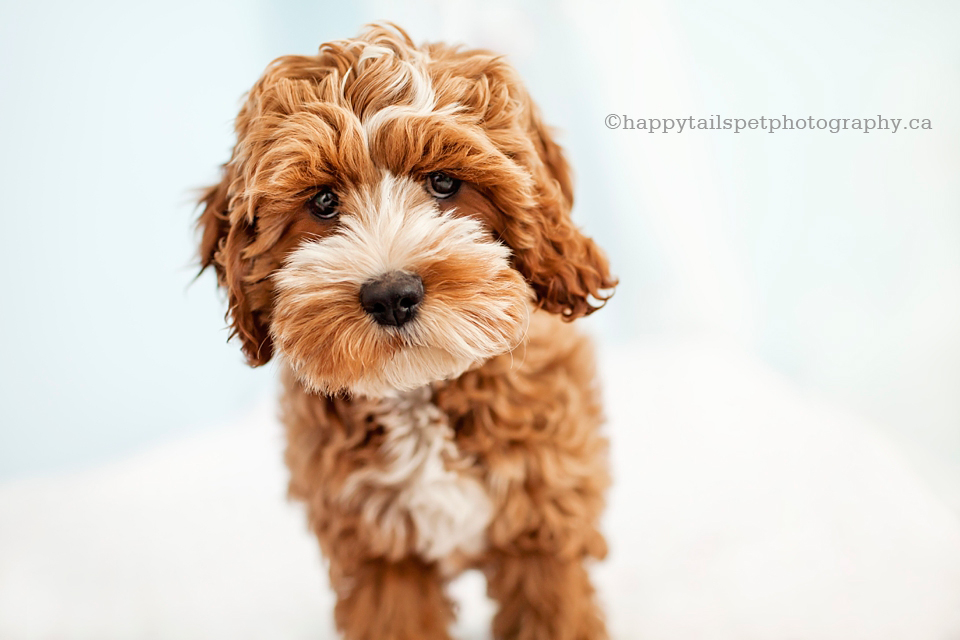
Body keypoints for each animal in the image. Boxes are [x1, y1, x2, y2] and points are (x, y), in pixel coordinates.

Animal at [199, 22, 620, 640]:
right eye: (323, 201)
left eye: (444, 183)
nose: (391, 294)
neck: (418, 392)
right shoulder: (378, 552)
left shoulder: (543, 527)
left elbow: (553, 610)